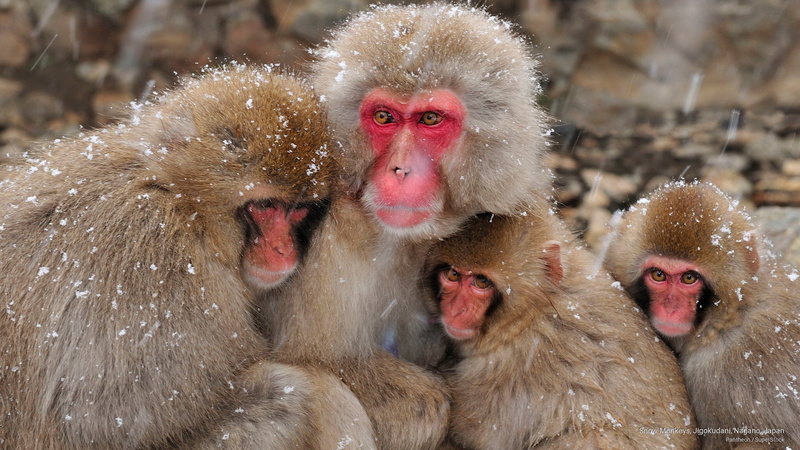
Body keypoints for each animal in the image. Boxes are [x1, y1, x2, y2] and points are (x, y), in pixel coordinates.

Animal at [0, 64, 375, 448]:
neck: (183, 203)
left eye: (299, 210)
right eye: (266, 206)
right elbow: (103, 415)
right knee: (298, 394)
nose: (284, 250)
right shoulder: (154, 257)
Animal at [256, 3, 551, 448]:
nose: (400, 169)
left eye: (430, 119)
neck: (401, 239)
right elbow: (314, 360)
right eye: (384, 117)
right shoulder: (330, 249)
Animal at [422, 202, 699, 449]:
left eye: (481, 282)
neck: (532, 310)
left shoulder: (517, 363)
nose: (456, 310)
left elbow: (476, 431)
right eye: (453, 275)